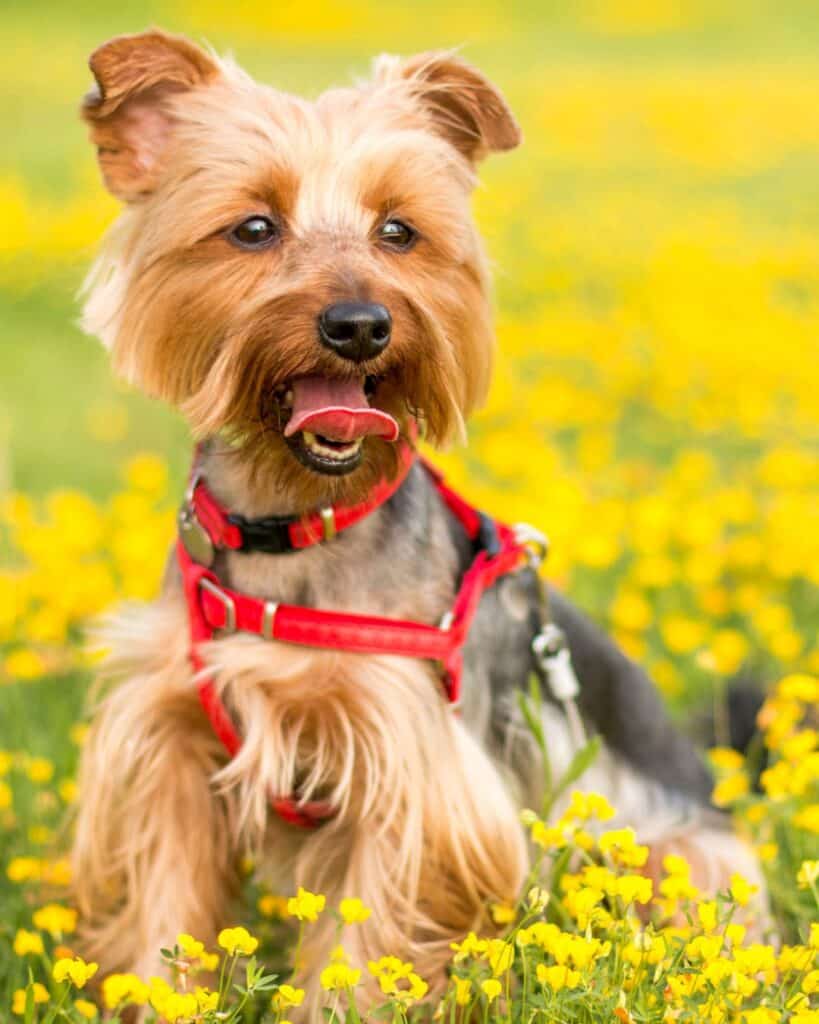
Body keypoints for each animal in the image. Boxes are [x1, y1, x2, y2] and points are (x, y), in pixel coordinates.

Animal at [72, 28, 769, 1011]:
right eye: (253, 228)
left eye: (398, 231)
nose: (360, 324)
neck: (296, 522)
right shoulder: (168, 742)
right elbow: (167, 911)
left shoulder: (413, 770)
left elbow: (369, 945)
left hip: (672, 853)